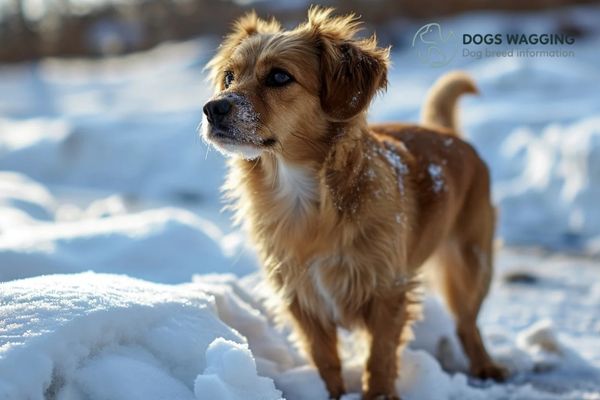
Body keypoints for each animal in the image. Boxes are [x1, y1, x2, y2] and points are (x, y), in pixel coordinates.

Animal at [202, 7, 506, 400]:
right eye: (229, 77)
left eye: (280, 76)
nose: (212, 108)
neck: (305, 198)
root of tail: (448, 134)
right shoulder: (301, 297)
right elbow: (325, 359)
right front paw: (333, 393)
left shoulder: (388, 290)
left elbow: (379, 357)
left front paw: (378, 393)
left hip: (470, 262)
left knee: (467, 323)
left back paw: (485, 366)